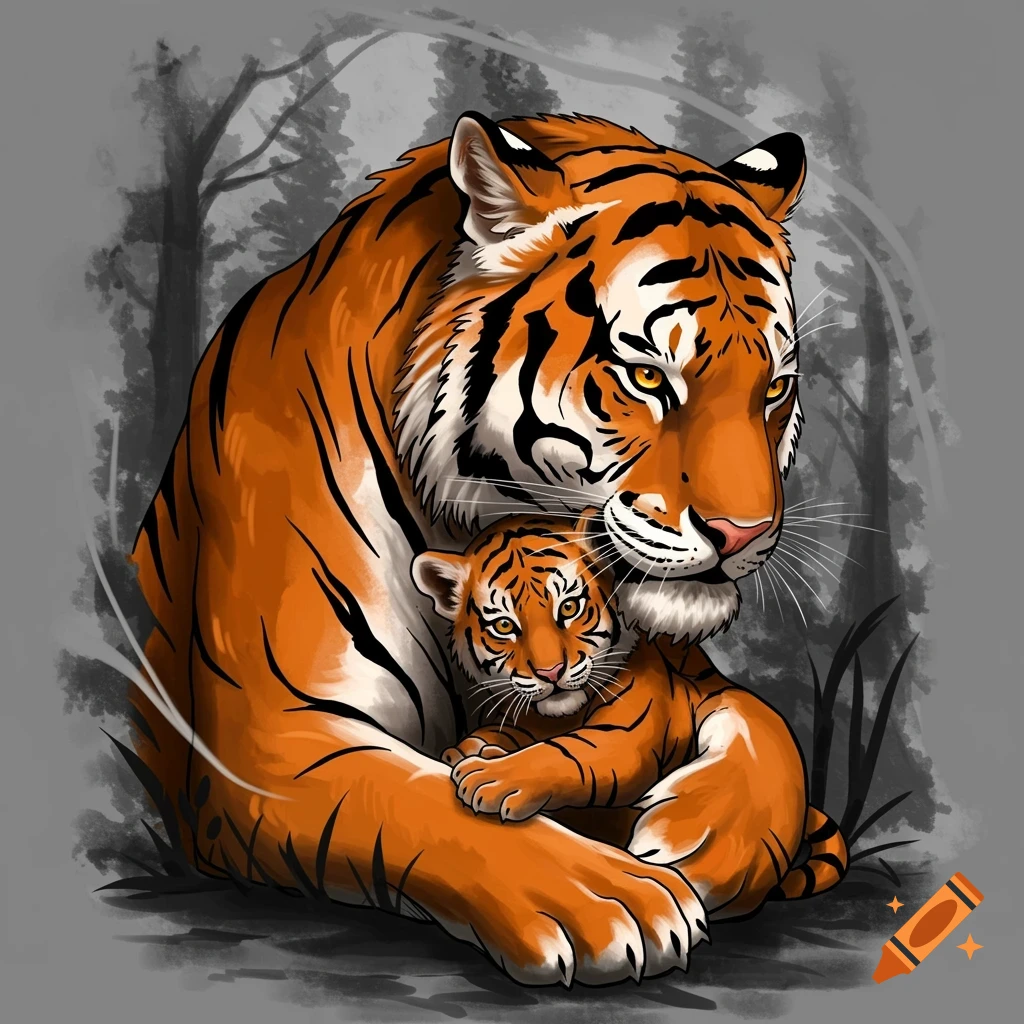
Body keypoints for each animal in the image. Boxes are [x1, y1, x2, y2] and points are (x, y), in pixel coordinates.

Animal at [414, 512, 848, 896]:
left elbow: (564, 753)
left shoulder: (625, 735)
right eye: (504, 625)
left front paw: (490, 777)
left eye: (568, 608)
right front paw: (469, 749)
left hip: (743, 717)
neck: (559, 716)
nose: (551, 672)